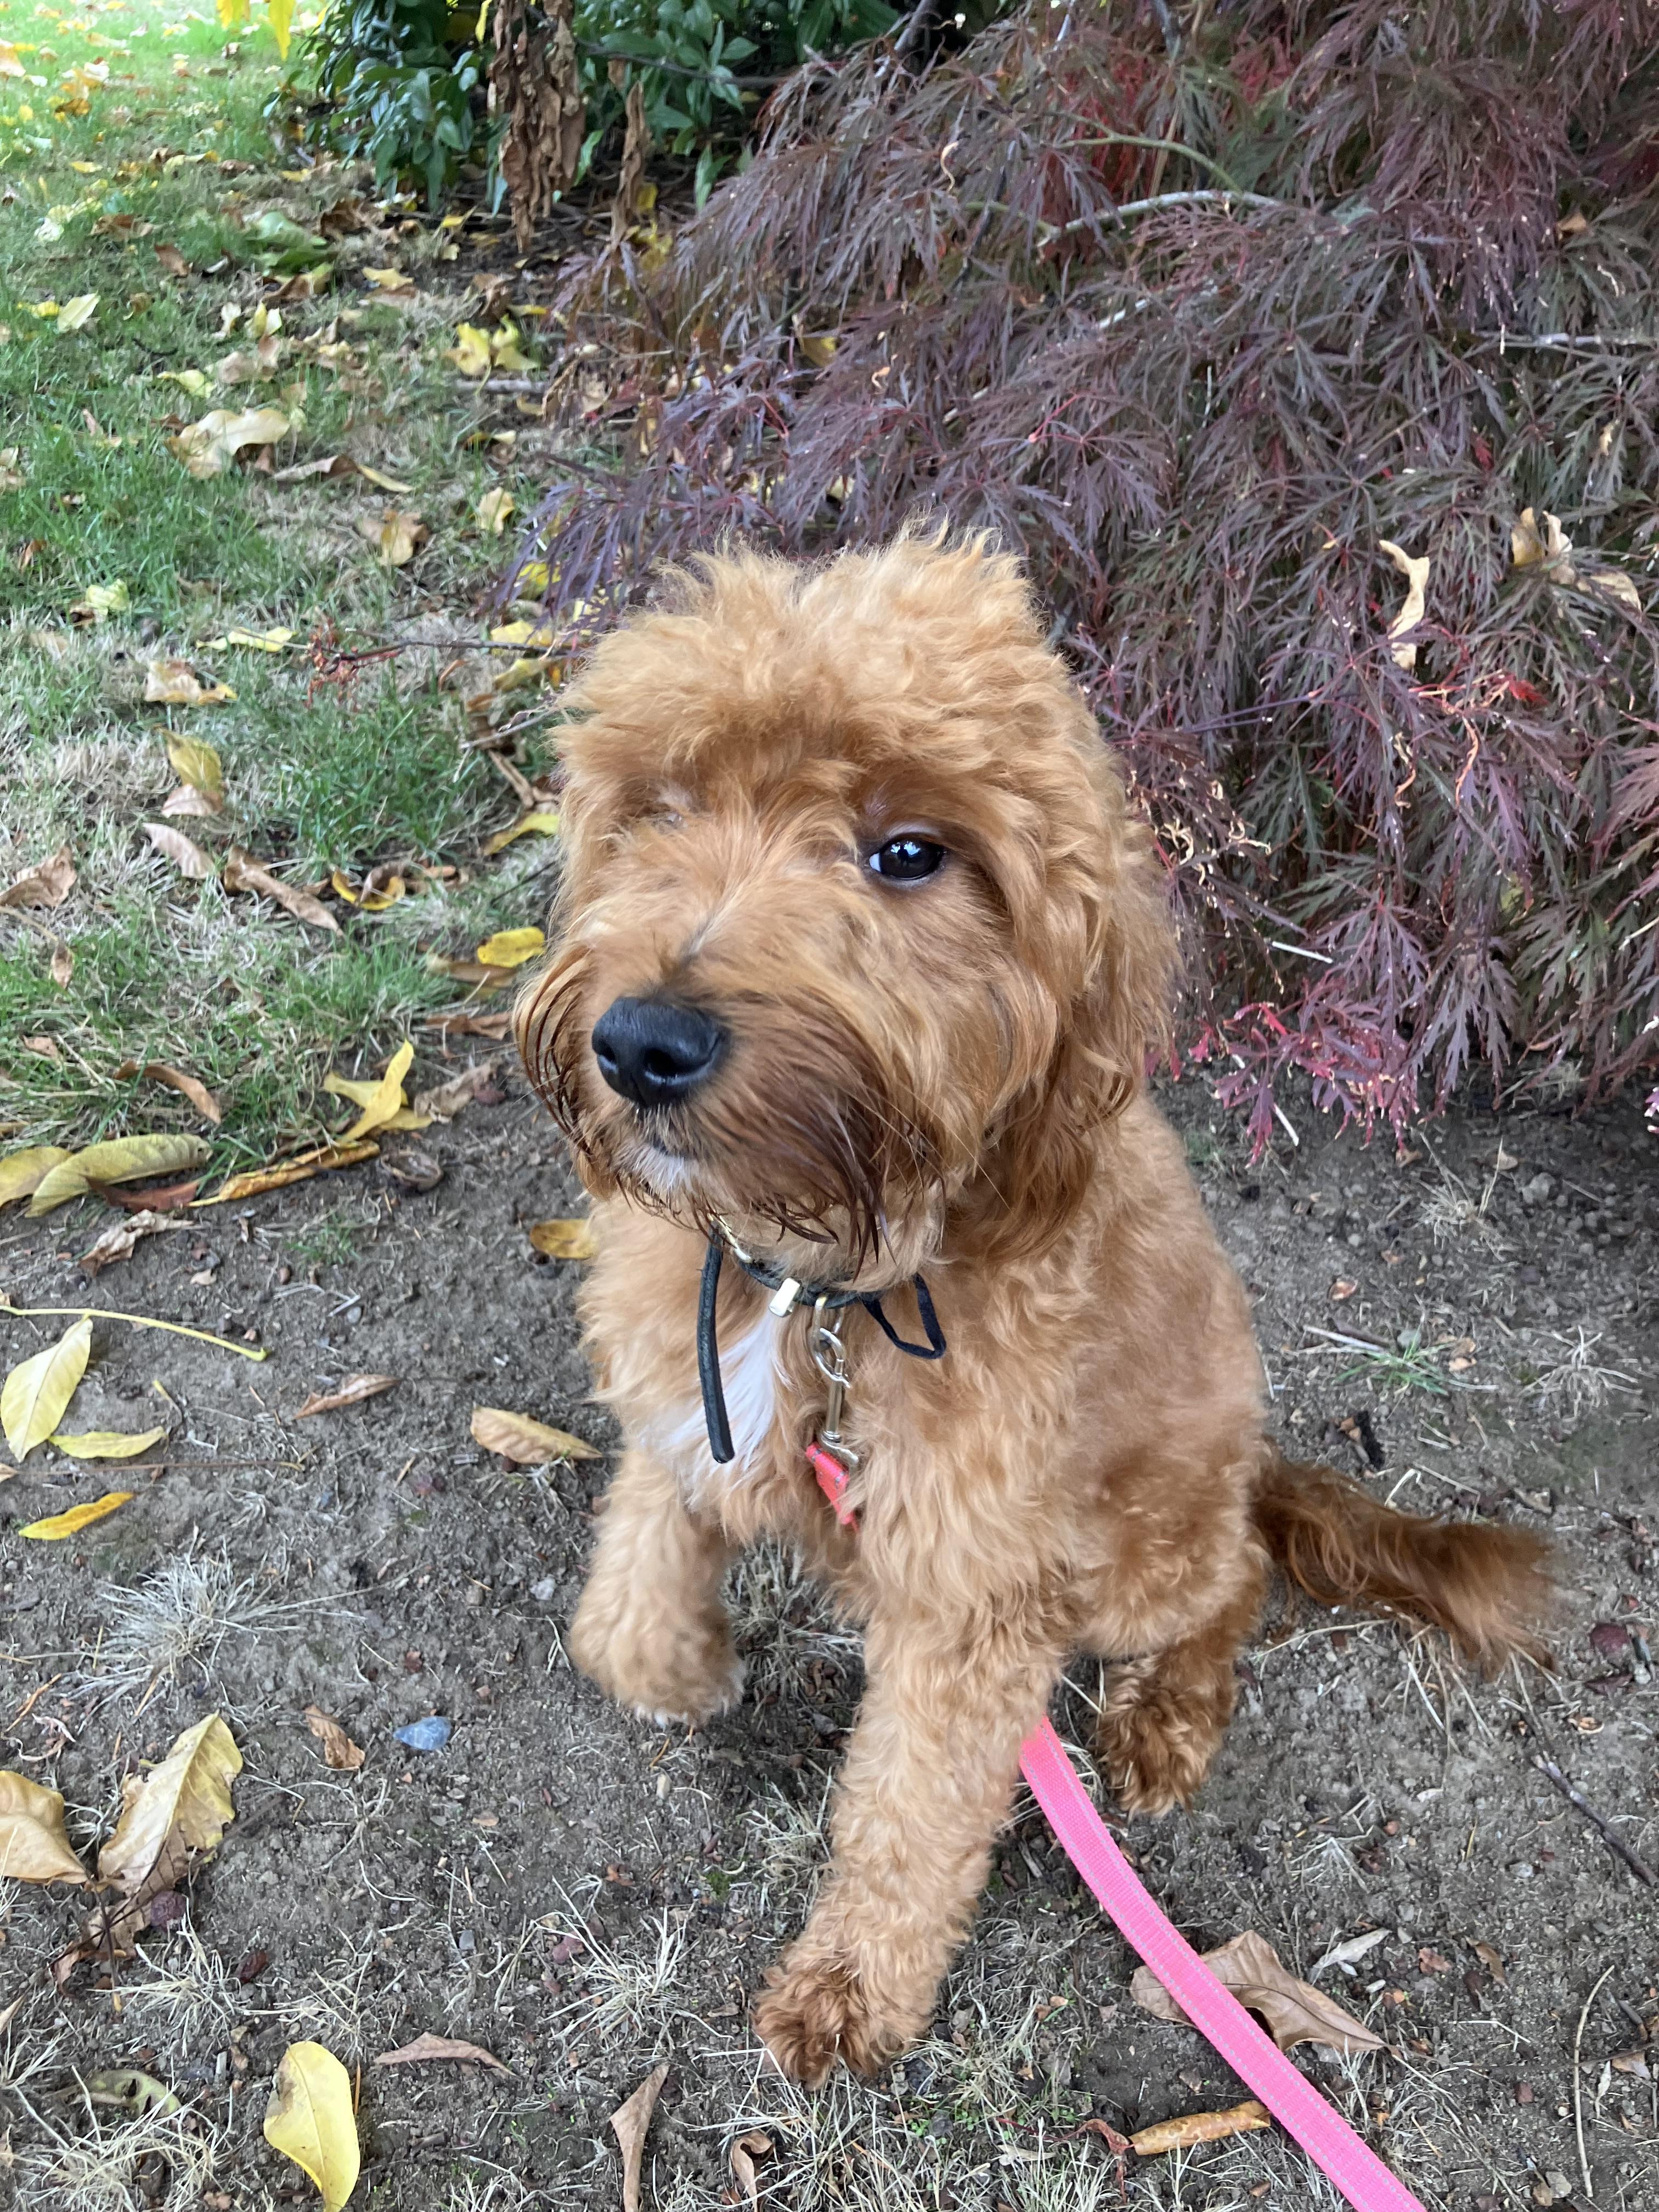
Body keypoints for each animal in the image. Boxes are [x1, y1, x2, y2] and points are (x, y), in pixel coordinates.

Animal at [514, 533, 1551, 2086]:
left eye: (908, 855)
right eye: (667, 806)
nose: (642, 1044)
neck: (823, 1276)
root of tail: (1256, 1464)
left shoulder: (976, 1593)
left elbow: (915, 1809)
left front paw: (852, 1988)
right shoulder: (685, 1388)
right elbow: (640, 1561)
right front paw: (674, 1663)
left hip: (1135, 1554)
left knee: (1237, 1581)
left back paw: (1165, 1717)